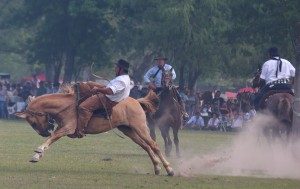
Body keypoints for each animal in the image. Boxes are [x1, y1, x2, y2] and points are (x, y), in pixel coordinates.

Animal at [16, 83, 175, 176]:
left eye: (32, 122)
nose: (44, 132)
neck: (66, 106)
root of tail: (136, 101)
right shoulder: (63, 128)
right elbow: (53, 138)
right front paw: (37, 155)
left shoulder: (68, 128)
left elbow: (53, 137)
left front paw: (38, 151)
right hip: (128, 130)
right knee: (146, 147)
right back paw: (157, 168)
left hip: (140, 127)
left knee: (153, 145)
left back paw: (169, 169)